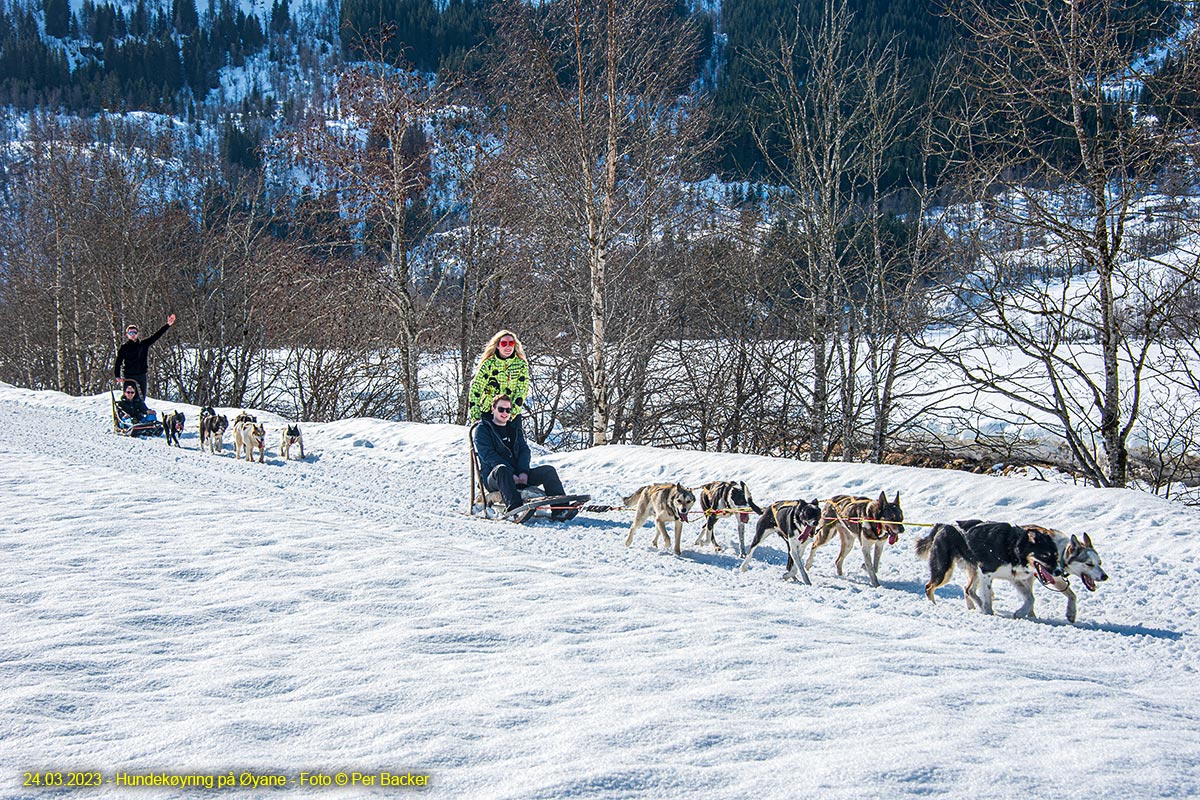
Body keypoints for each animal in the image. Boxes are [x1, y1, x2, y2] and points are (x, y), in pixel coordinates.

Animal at [916, 520, 1060, 618]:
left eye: (1056, 555)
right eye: (1045, 555)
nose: (1059, 572)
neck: (1012, 547)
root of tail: (943, 525)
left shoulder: (1014, 579)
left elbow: (1030, 598)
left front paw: (1020, 613)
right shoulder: (986, 573)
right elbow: (987, 597)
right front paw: (989, 612)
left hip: (974, 571)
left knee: (968, 589)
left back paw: (974, 607)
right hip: (944, 571)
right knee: (929, 587)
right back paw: (934, 606)